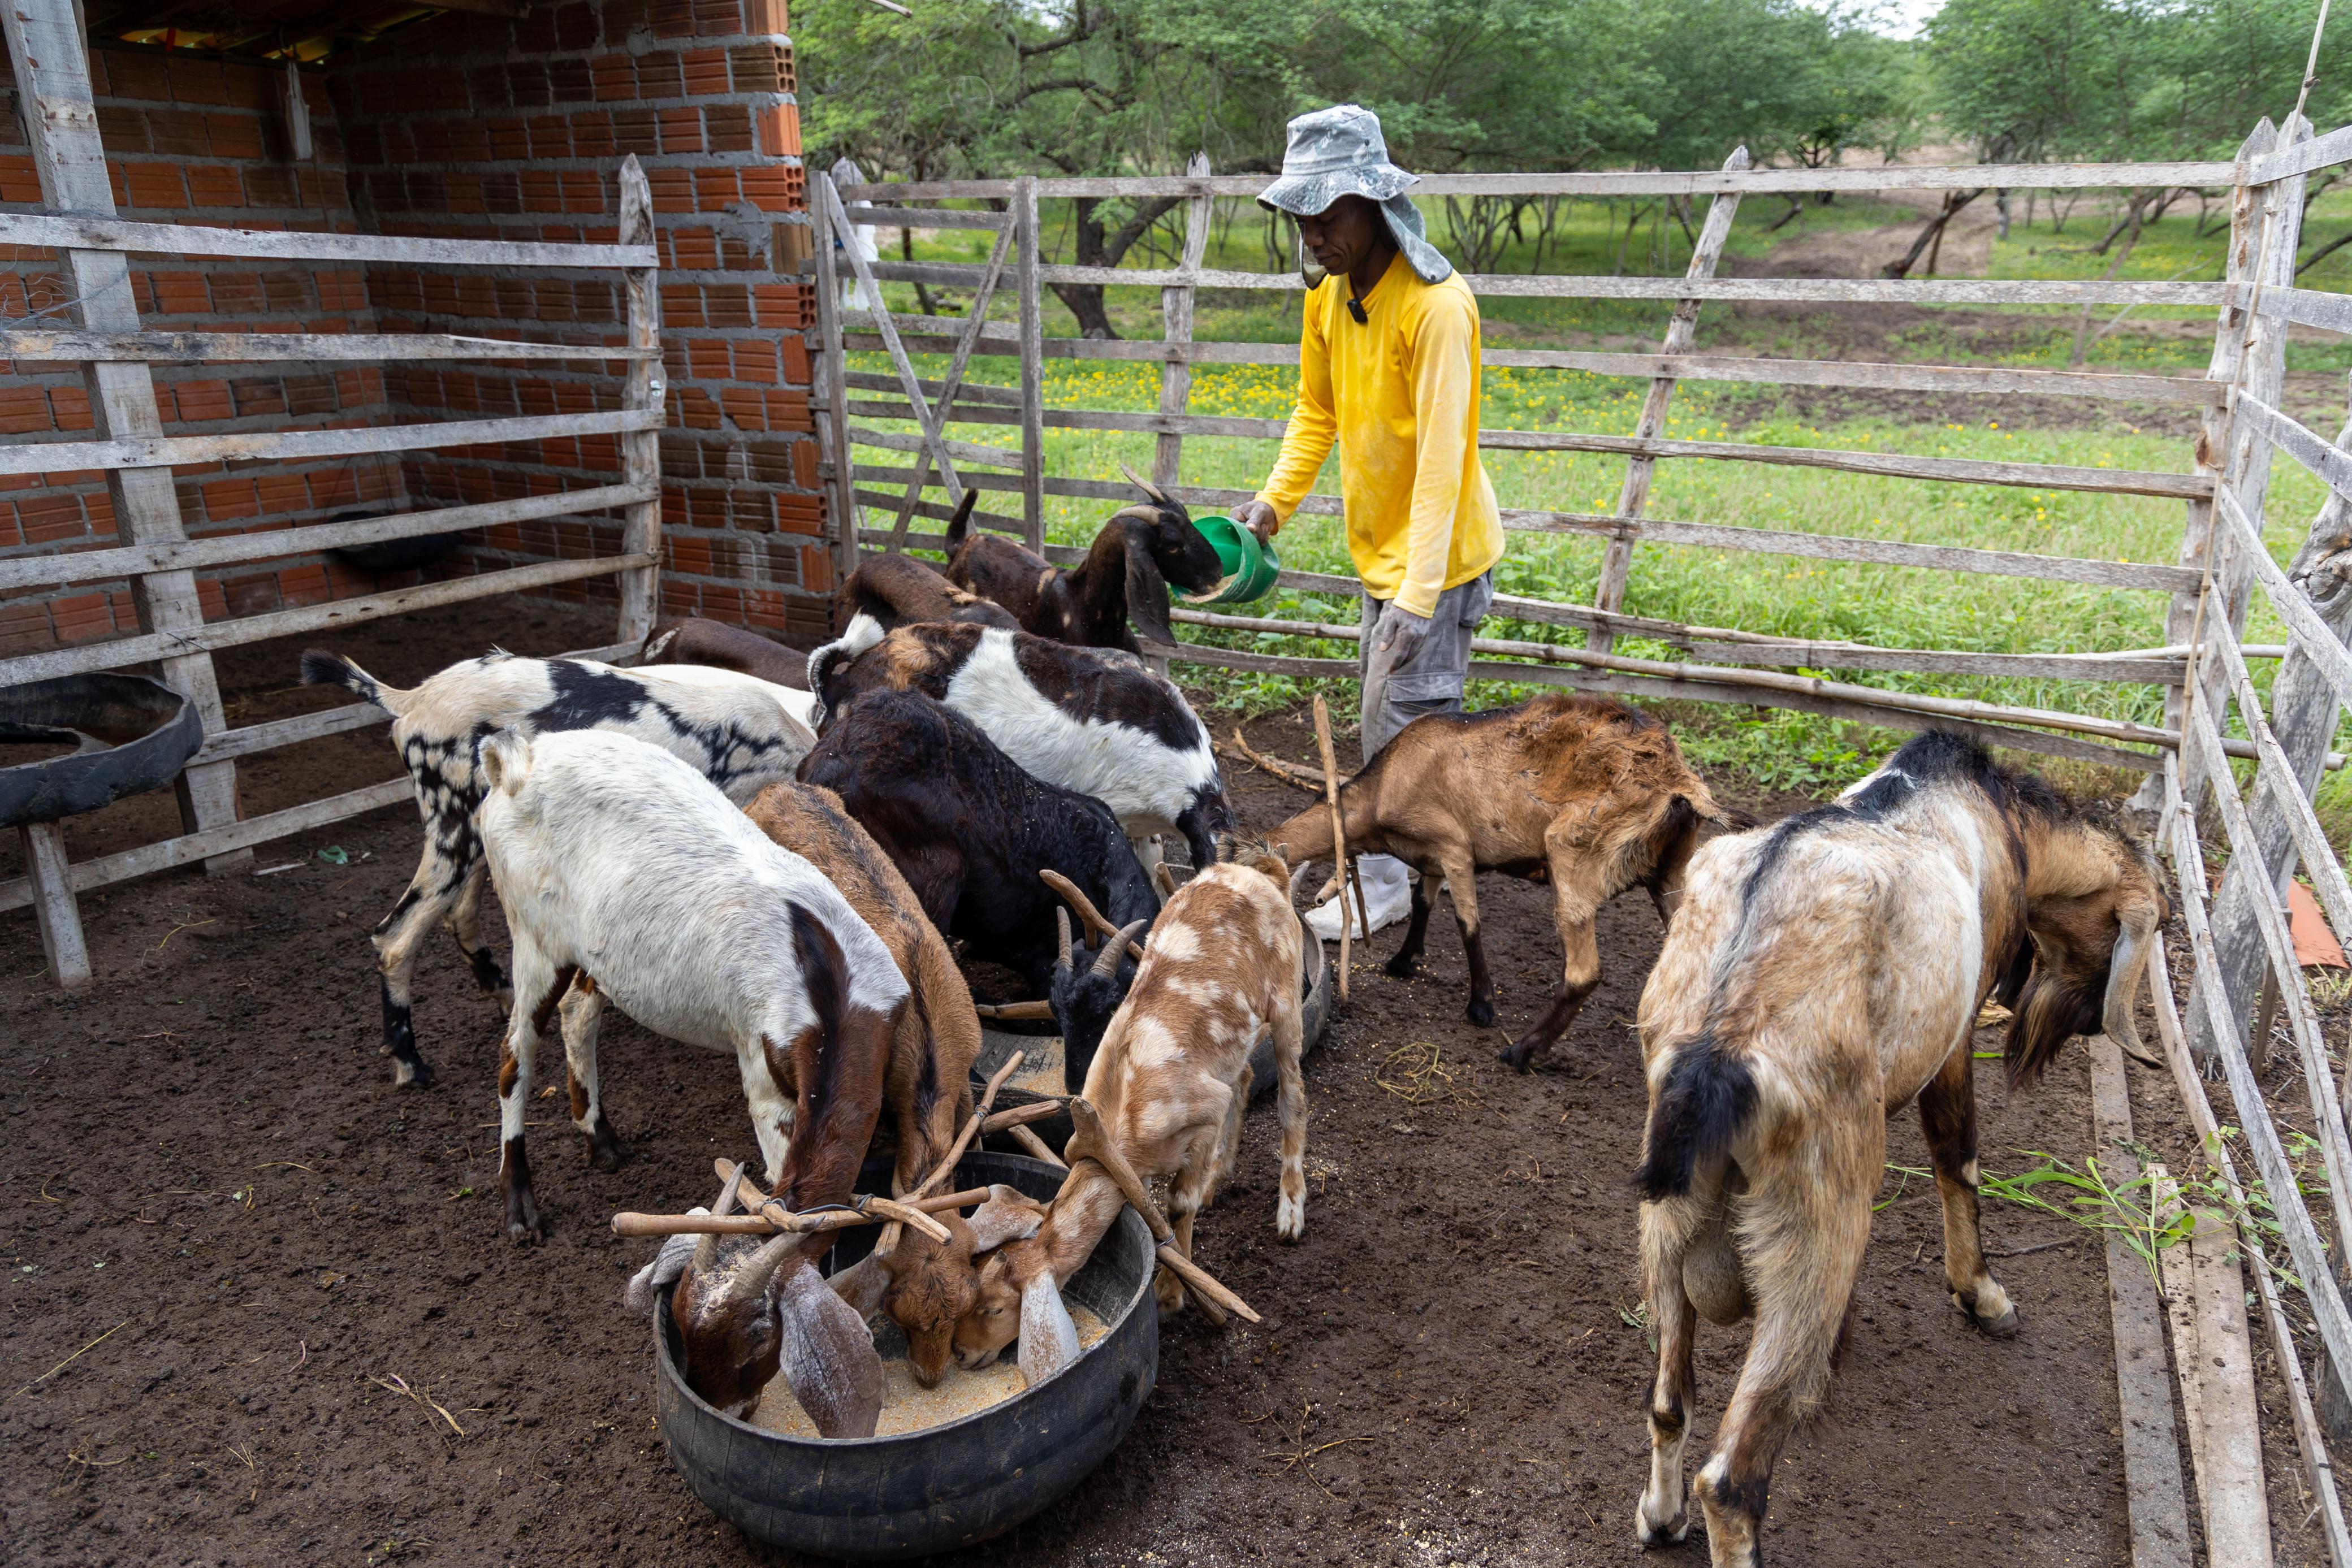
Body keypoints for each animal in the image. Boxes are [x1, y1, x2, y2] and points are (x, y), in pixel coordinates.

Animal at [300, 649, 816, 1092]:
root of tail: (408, 701)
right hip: (452, 827)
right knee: (396, 937)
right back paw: (411, 1065)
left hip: (477, 835)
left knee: (458, 914)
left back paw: (503, 995)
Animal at [474, 728, 908, 1435]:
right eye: (677, 1321)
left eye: (757, 1339)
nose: (724, 1407)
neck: (833, 992)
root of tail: (516, 759)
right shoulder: (763, 1074)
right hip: (533, 935)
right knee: (515, 1056)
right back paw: (518, 1203)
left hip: (595, 950)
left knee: (579, 1012)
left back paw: (600, 1137)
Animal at [952, 849, 1309, 1386]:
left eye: (995, 1307)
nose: (961, 1353)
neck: (1118, 1120)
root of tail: (1259, 873)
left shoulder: (1203, 1108)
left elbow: (1179, 1204)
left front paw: (1170, 1296)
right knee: (1245, 1075)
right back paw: (1219, 1176)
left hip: (1286, 994)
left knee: (1292, 1097)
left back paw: (1289, 1213)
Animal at [1265, 691, 1734, 1071]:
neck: (1377, 795)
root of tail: (1679, 783)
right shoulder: (1432, 856)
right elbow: (1422, 903)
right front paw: (1402, 962)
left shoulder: (1454, 848)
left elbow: (1467, 924)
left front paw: (1481, 1007)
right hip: (1672, 868)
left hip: (1575, 856)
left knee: (1584, 972)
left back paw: (1522, 1051)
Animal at [1627, 731, 2166, 1568]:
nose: (2081, 1023)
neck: (1998, 821)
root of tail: (1718, 1046)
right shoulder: (1953, 1037)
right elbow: (1958, 1154)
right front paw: (1983, 1296)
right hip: (1816, 1212)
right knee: (1733, 1478)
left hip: (1666, 1215)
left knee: (1668, 1401)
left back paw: (1660, 1515)